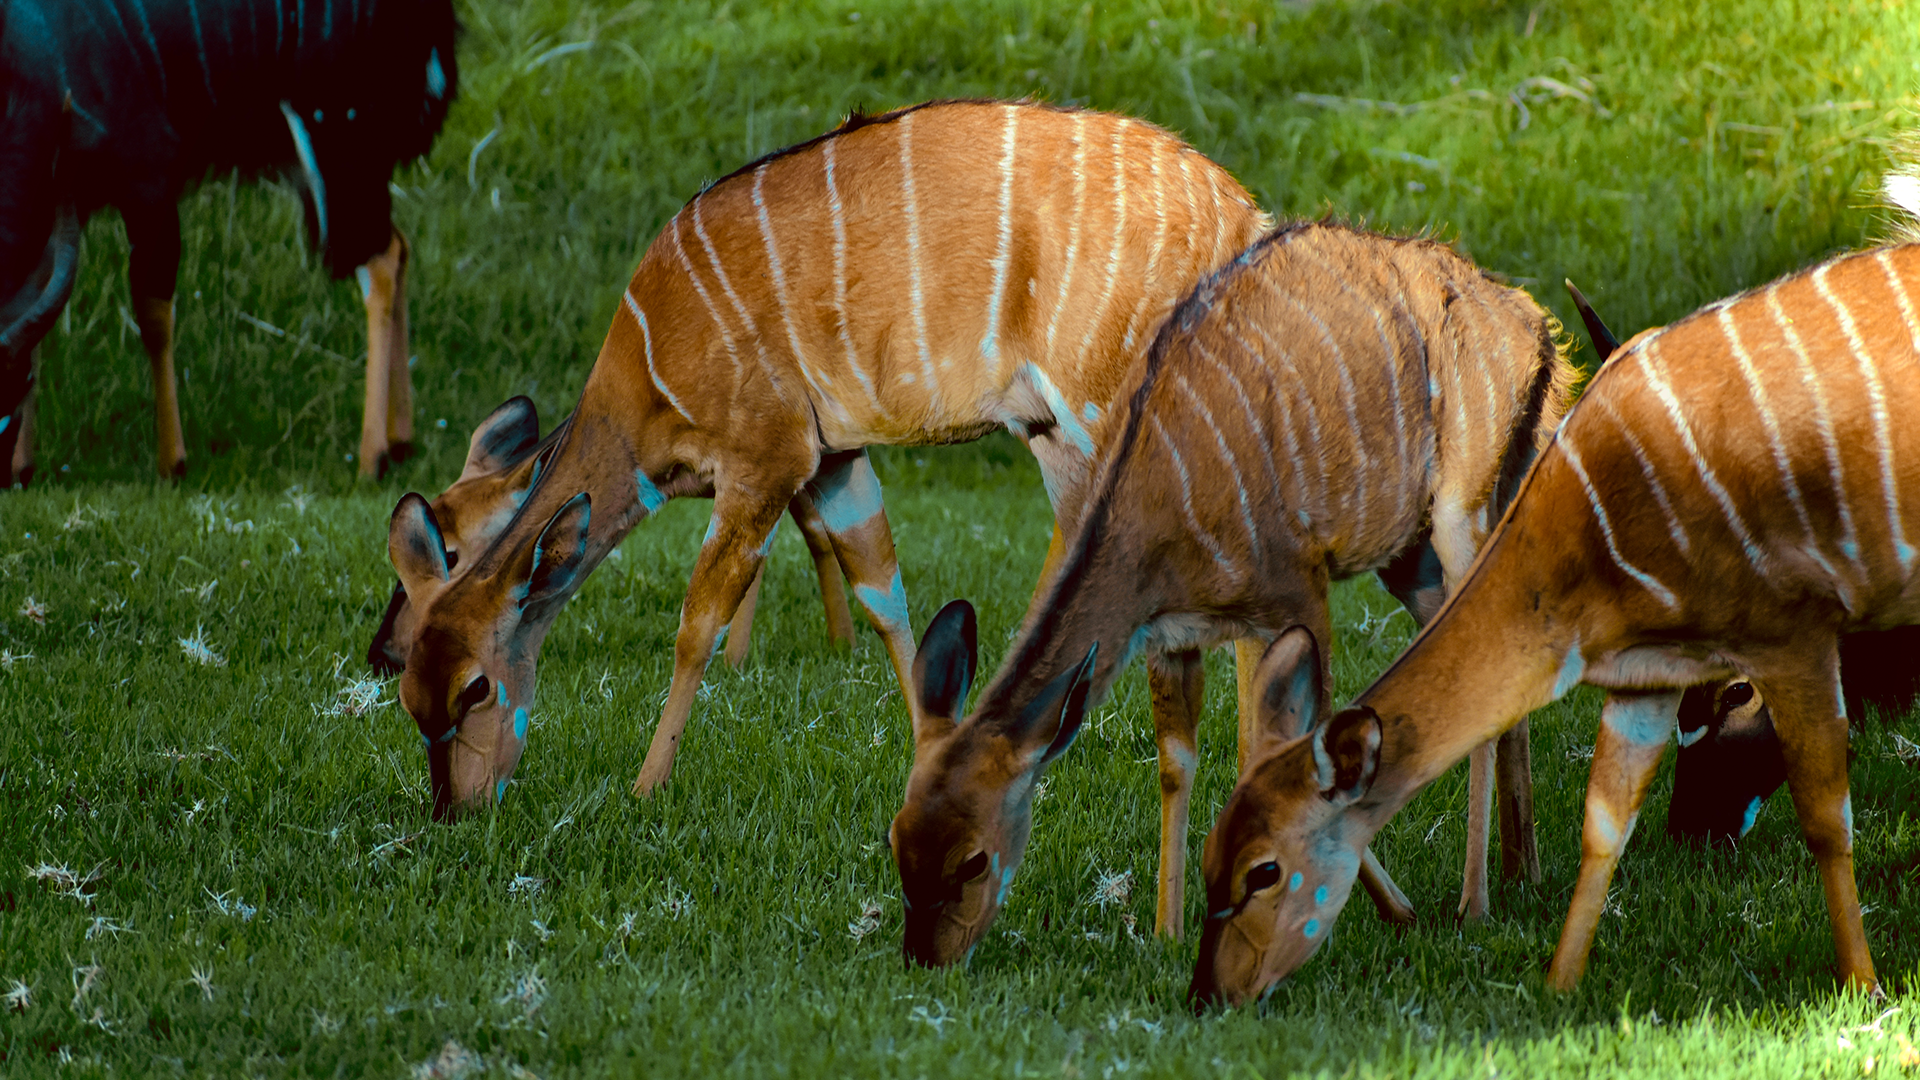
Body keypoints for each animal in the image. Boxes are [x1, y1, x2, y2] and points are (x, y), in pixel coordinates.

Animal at [0, 0, 456, 478]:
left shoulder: (149, 176)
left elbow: (152, 312)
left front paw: (172, 463)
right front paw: (23, 468)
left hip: (338, 146)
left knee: (379, 260)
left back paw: (372, 458)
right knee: (398, 245)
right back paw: (401, 439)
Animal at [890, 220, 1582, 957]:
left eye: (972, 859)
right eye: (898, 840)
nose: (924, 959)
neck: (1158, 502)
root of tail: (1537, 331)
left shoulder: (1297, 590)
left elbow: (1295, 749)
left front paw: (1392, 910)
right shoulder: (1167, 635)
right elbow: (1176, 761)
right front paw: (1166, 931)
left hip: (1461, 510)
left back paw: (1474, 903)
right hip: (1409, 556)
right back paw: (1521, 871)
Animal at [1182, 222, 1920, 1006]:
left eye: (1263, 871)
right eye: (1210, 855)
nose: (1205, 996)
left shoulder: (1790, 638)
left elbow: (1826, 818)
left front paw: (1865, 986)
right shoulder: (1649, 676)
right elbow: (1605, 821)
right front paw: (1559, 988)